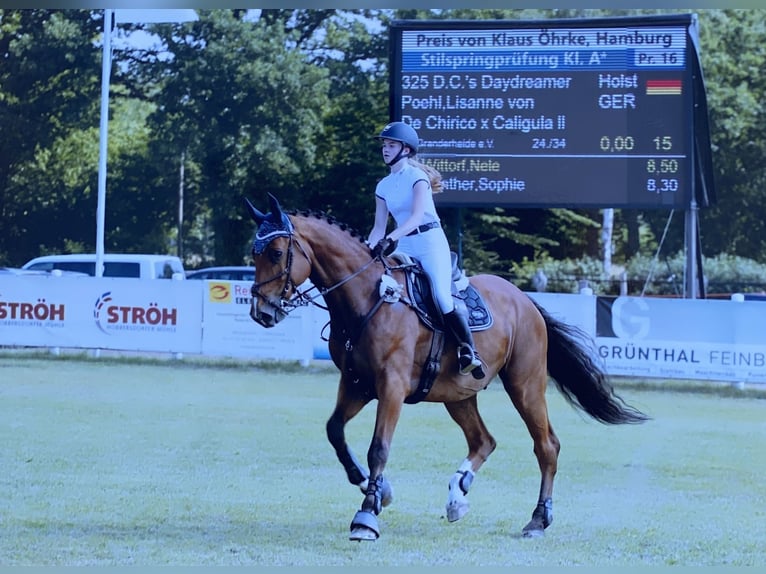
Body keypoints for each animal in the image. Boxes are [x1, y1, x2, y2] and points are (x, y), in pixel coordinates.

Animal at [244, 195, 648, 544]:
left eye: (276, 253)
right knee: (483, 440)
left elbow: (379, 447)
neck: (366, 298)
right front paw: (374, 487)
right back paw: (458, 496)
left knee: (546, 445)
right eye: (254, 254)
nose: (262, 312)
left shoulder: (390, 387)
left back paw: (537, 519)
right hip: (457, 393)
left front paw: (367, 515)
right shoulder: (357, 384)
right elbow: (335, 432)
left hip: (525, 385)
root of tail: (524, 299)